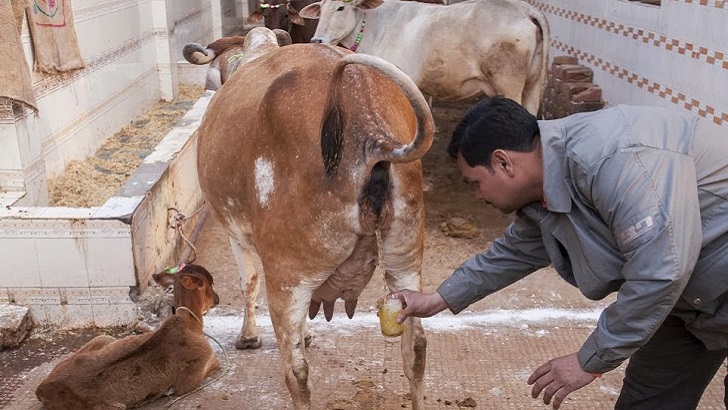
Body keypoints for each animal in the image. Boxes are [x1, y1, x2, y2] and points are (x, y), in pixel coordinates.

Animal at [34, 264, 220, 408]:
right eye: (210, 282)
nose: (217, 298)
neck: (191, 324)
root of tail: (42, 389)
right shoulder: (191, 376)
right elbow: (215, 364)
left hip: (103, 339)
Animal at [195, 26, 432, 410]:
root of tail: (369, 129)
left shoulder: (235, 232)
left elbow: (248, 281)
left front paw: (248, 336)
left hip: (288, 276)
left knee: (297, 373)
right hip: (405, 260)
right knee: (417, 349)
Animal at [298, 0, 548, 115]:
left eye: (341, 7)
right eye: (321, 7)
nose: (317, 40)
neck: (373, 26)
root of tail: (525, 9)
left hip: (508, 83)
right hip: (532, 85)